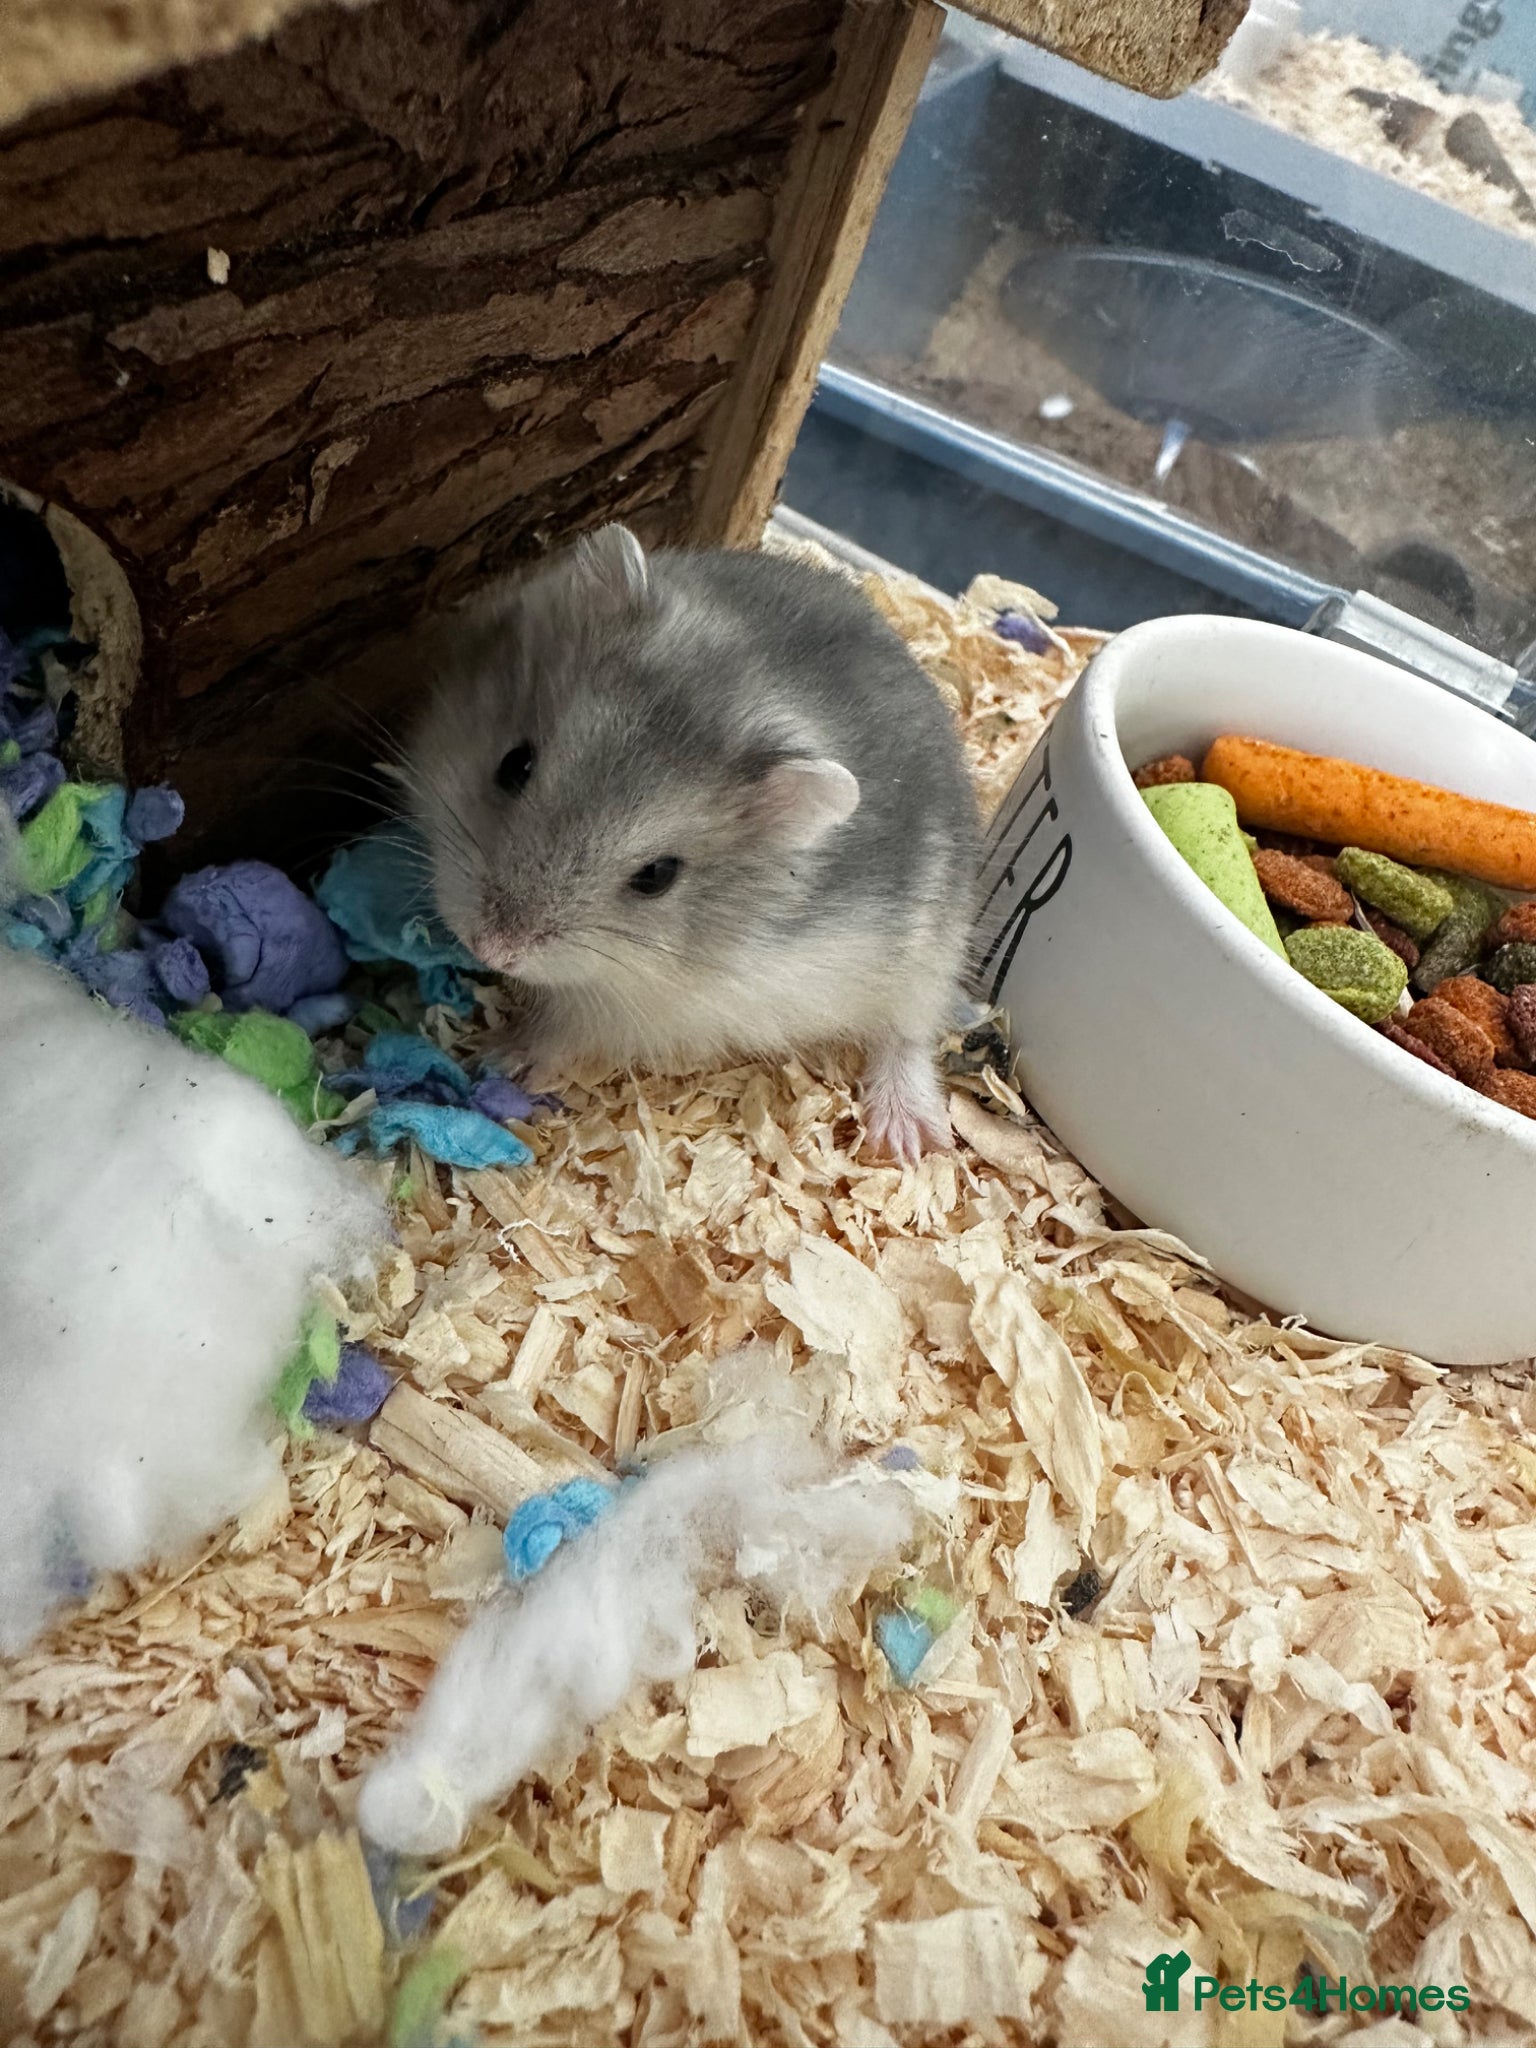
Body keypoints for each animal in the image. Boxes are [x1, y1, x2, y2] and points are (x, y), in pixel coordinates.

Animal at [408, 525, 981, 1160]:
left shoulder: (634, 1010)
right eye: (515, 765)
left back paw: (909, 1139)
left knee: (908, 1034)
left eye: (658, 876)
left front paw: (497, 1055)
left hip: (930, 956)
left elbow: (562, 1029)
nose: (490, 949)